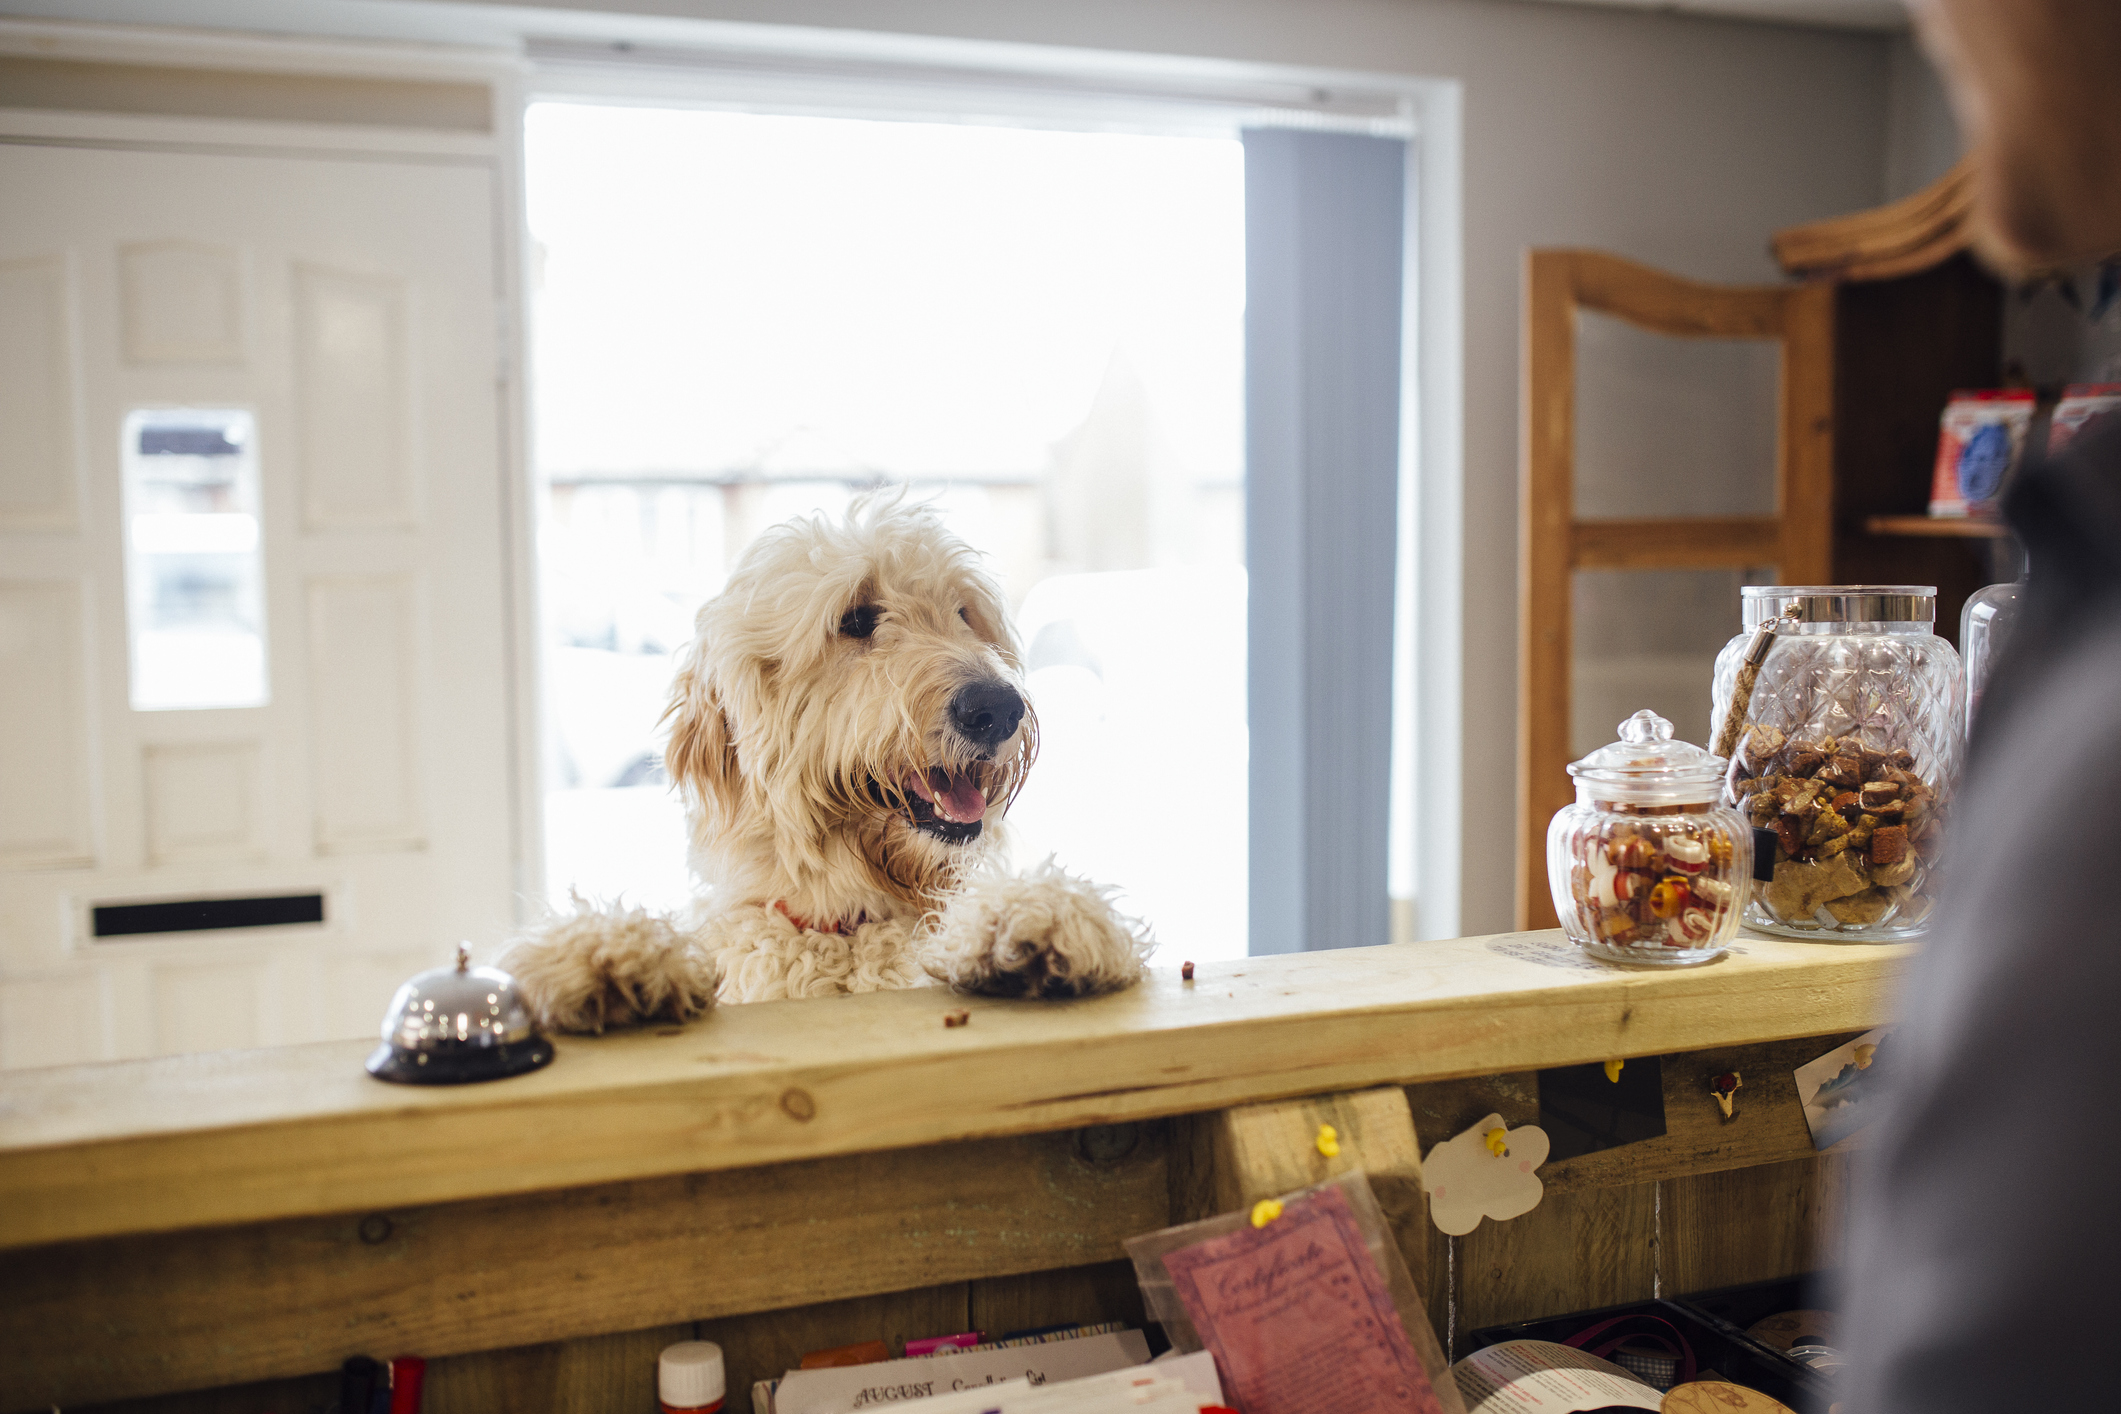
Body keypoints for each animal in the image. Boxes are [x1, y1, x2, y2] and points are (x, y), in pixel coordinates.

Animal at [504, 498, 1153, 1030]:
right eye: (856, 619)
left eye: (964, 613)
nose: (997, 708)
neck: (846, 925)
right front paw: (608, 952)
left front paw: (1039, 916)